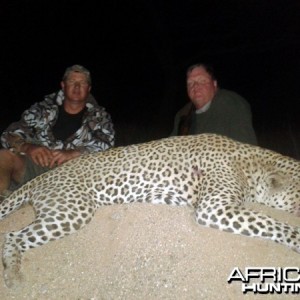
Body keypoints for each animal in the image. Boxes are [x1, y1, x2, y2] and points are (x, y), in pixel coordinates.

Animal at [1, 134, 300, 288]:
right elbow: (270, 222)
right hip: (72, 210)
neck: (253, 166)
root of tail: (42, 177)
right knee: (11, 237)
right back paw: (14, 275)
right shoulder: (215, 207)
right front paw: (296, 239)